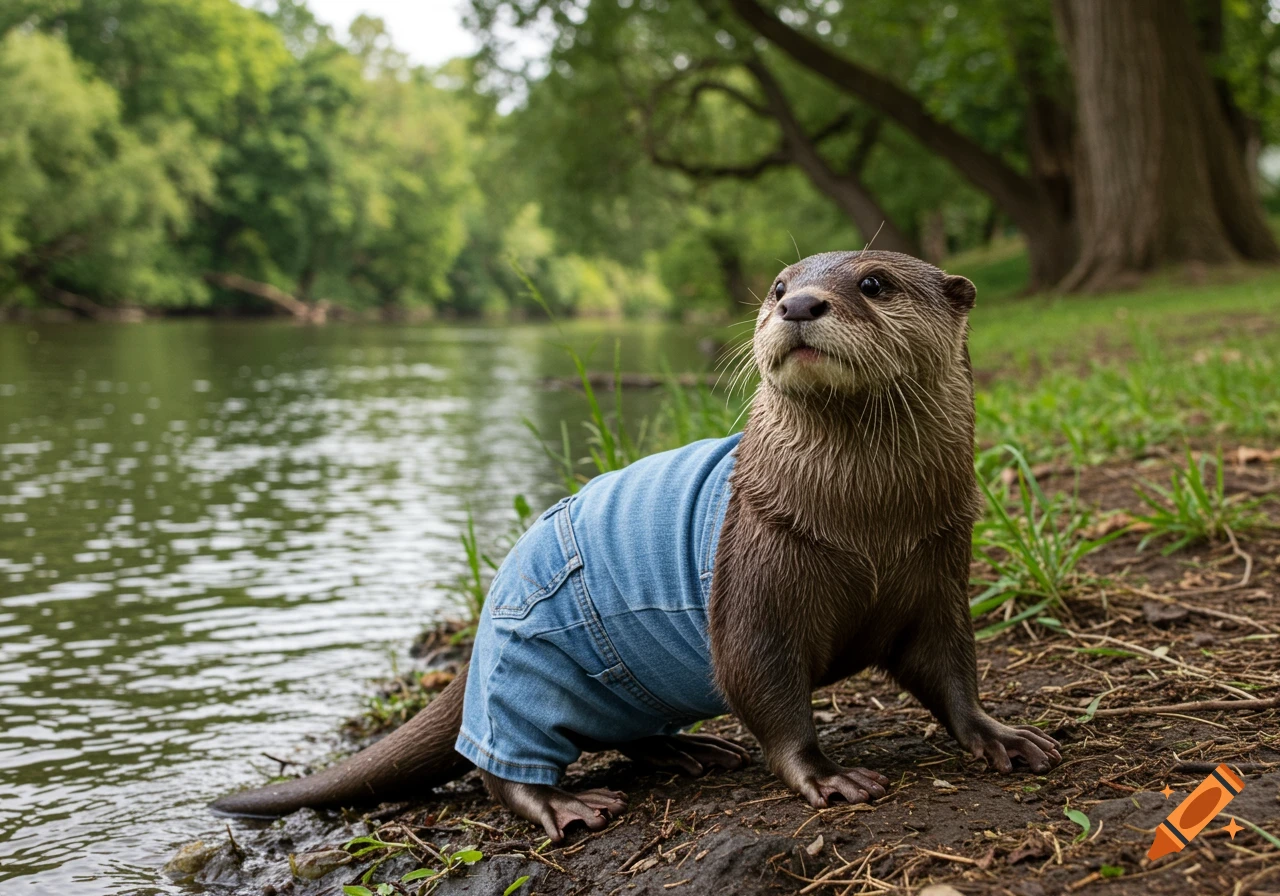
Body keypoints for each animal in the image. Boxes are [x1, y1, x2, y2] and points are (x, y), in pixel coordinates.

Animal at [211, 251, 1061, 840]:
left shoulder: (939, 570)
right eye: (777, 284)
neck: (867, 528)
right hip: (523, 673)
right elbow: (765, 689)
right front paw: (826, 777)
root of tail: (483, 622)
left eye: (876, 282)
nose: (799, 304)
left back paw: (688, 752)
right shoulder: (753, 581)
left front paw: (1002, 737)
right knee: (494, 763)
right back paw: (564, 805)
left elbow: (951, 670)